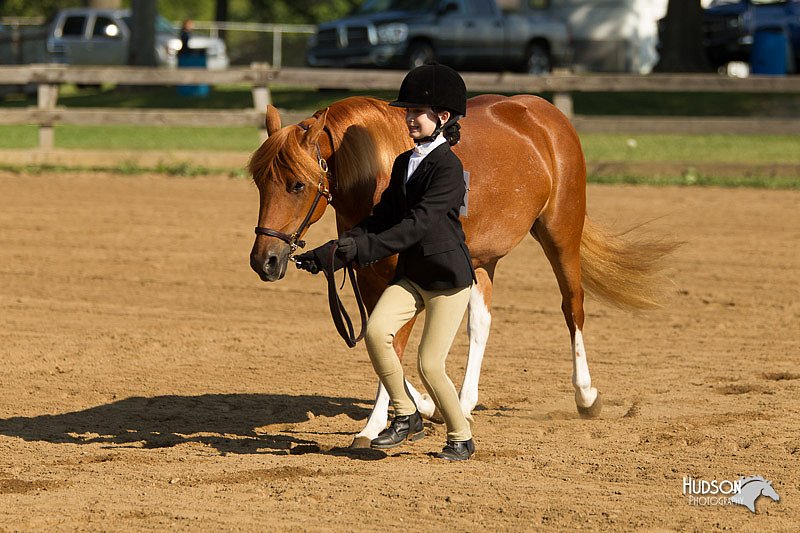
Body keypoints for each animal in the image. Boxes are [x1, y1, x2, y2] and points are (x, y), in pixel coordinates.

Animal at [250, 94, 676, 444]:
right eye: (259, 181)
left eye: (297, 185)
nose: (263, 260)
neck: (378, 170)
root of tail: (546, 113)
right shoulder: (370, 278)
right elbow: (381, 342)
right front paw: (427, 406)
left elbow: (392, 344)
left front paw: (375, 426)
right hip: (483, 260)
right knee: (480, 324)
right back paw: (464, 402)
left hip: (561, 235)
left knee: (572, 307)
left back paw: (586, 396)